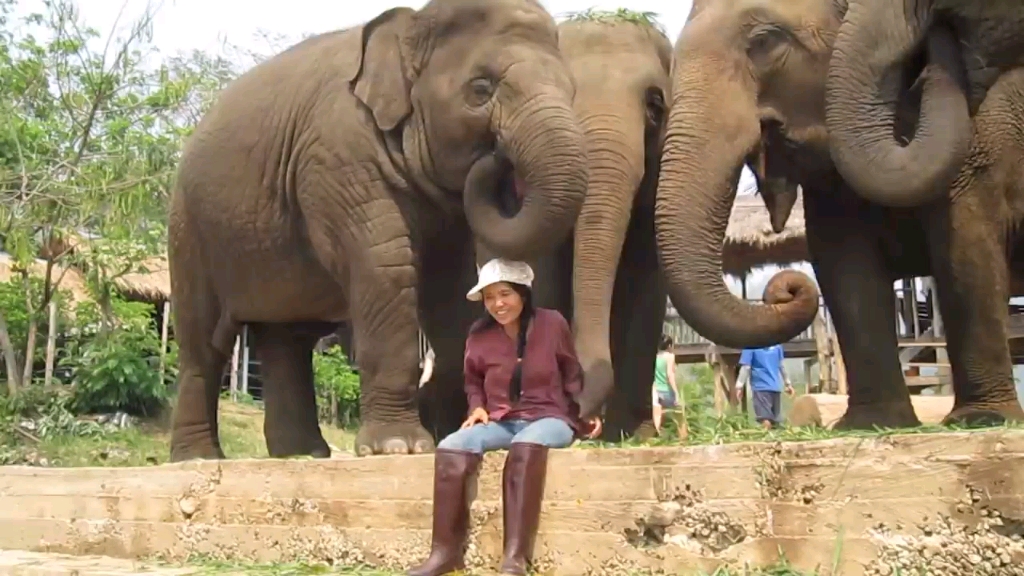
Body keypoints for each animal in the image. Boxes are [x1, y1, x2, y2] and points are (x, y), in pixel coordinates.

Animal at [165, 0, 585, 459]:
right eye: (480, 88)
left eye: (571, 90)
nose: (496, 159)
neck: (412, 25)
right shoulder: (340, 154)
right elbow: (384, 266)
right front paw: (400, 448)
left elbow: (451, 286)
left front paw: (450, 432)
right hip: (189, 226)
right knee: (204, 342)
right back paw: (199, 456)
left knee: (286, 339)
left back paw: (302, 454)